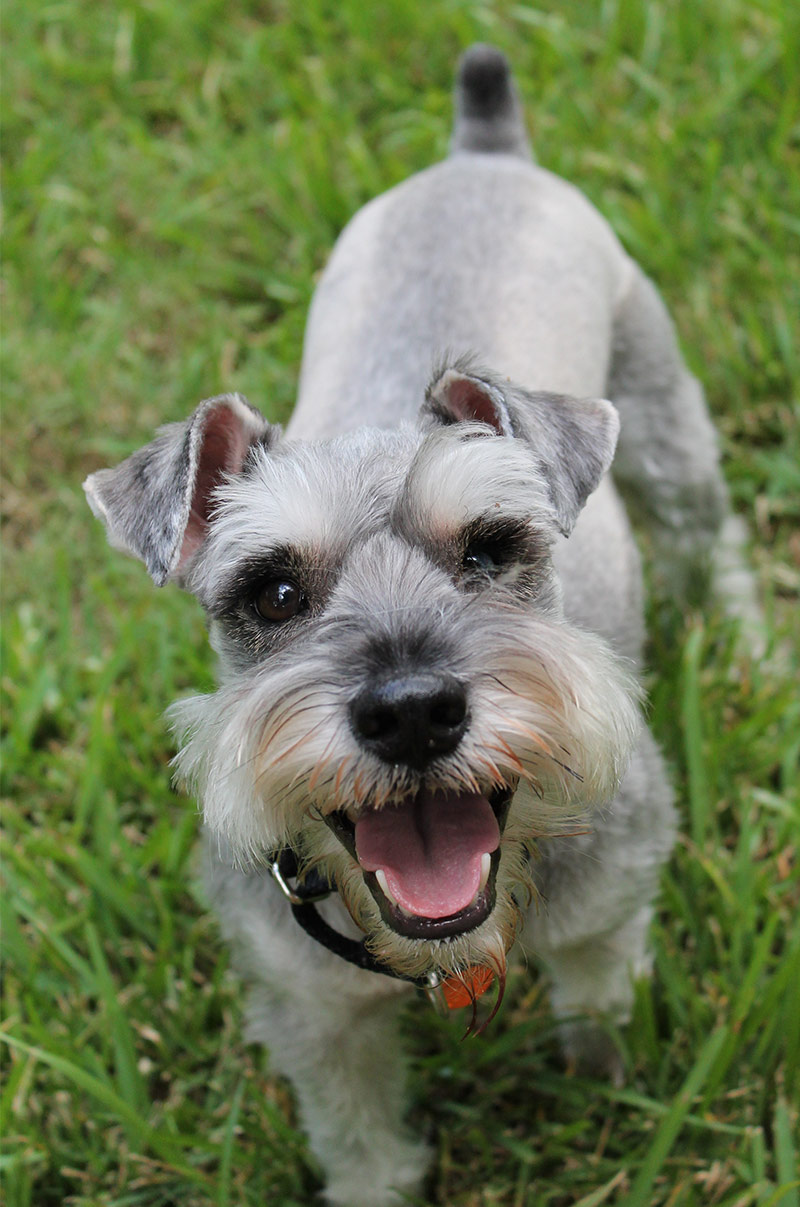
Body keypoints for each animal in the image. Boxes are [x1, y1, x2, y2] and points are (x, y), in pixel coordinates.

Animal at [82, 44, 757, 1207]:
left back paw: (757, 653)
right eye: (271, 590)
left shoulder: (609, 903)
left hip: (665, 421)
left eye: (489, 546)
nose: (410, 713)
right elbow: (358, 1137)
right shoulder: (312, 1011)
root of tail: (480, 151)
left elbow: (598, 1000)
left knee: (710, 539)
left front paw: (610, 1089)